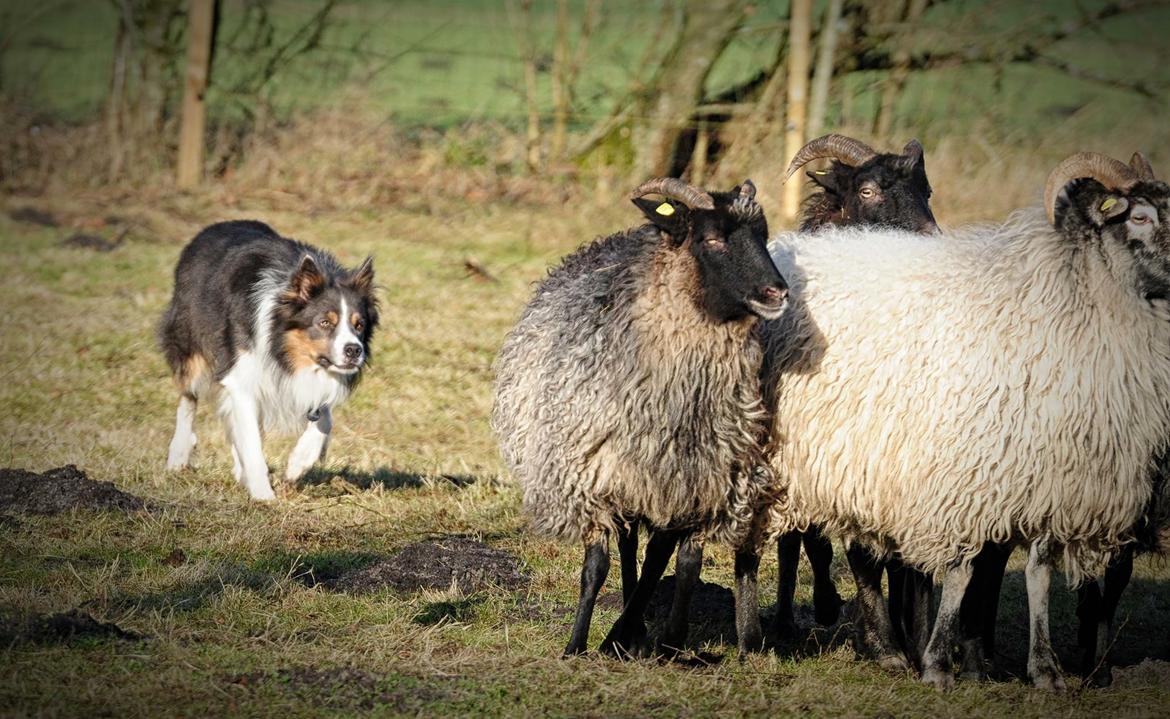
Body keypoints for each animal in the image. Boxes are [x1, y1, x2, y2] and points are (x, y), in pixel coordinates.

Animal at [159, 220, 379, 500]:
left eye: (359, 325)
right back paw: (178, 456)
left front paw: (298, 463)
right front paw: (264, 495)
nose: (354, 350)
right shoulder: (242, 376)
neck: (284, 350)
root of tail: (213, 227)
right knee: (188, 398)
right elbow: (252, 441)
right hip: (190, 345)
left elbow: (325, 417)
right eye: (324, 322)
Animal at [491, 175, 786, 659]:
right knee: (628, 547)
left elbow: (677, 565)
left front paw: (658, 640)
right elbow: (597, 565)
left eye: (762, 235)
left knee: (650, 554)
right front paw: (577, 645)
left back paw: (635, 630)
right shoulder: (592, 476)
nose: (777, 294)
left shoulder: (697, 485)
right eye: (711, 239)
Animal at [734, 153, 1170, 692]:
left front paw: (1044, 670)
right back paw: (754, 640)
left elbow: (1038, 574)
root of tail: (787, 247)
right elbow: (961, 572)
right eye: (1140, 217)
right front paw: (939, 662)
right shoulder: (960, 477)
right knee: (754, 543)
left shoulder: (1047, 477)